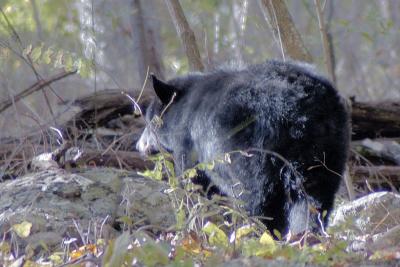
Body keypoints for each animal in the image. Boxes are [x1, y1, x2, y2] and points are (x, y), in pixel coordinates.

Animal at [137, 60, 350, 237]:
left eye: (149, 120)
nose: (139, 146)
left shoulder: (190, 149)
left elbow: (197, 185)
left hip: (254, 156)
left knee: (259, 200)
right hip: (327, 152)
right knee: (315, 199)